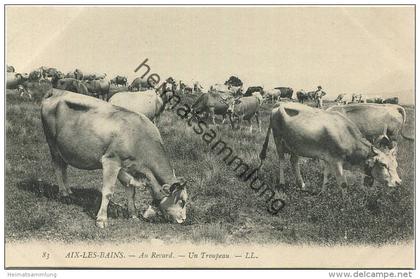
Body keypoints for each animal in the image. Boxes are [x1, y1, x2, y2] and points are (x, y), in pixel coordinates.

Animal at [41, 91, 189, 229]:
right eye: (182, 201)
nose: (184, 219)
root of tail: (56, 91)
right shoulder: (111, 161)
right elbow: (107, 192)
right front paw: (101, 220)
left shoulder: (128, 168)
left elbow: (131, 191)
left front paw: (133, 214)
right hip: (52, 143)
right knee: (57, 167)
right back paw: (63, 193)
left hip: (64, 148)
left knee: (64, 166)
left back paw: (69, 191)